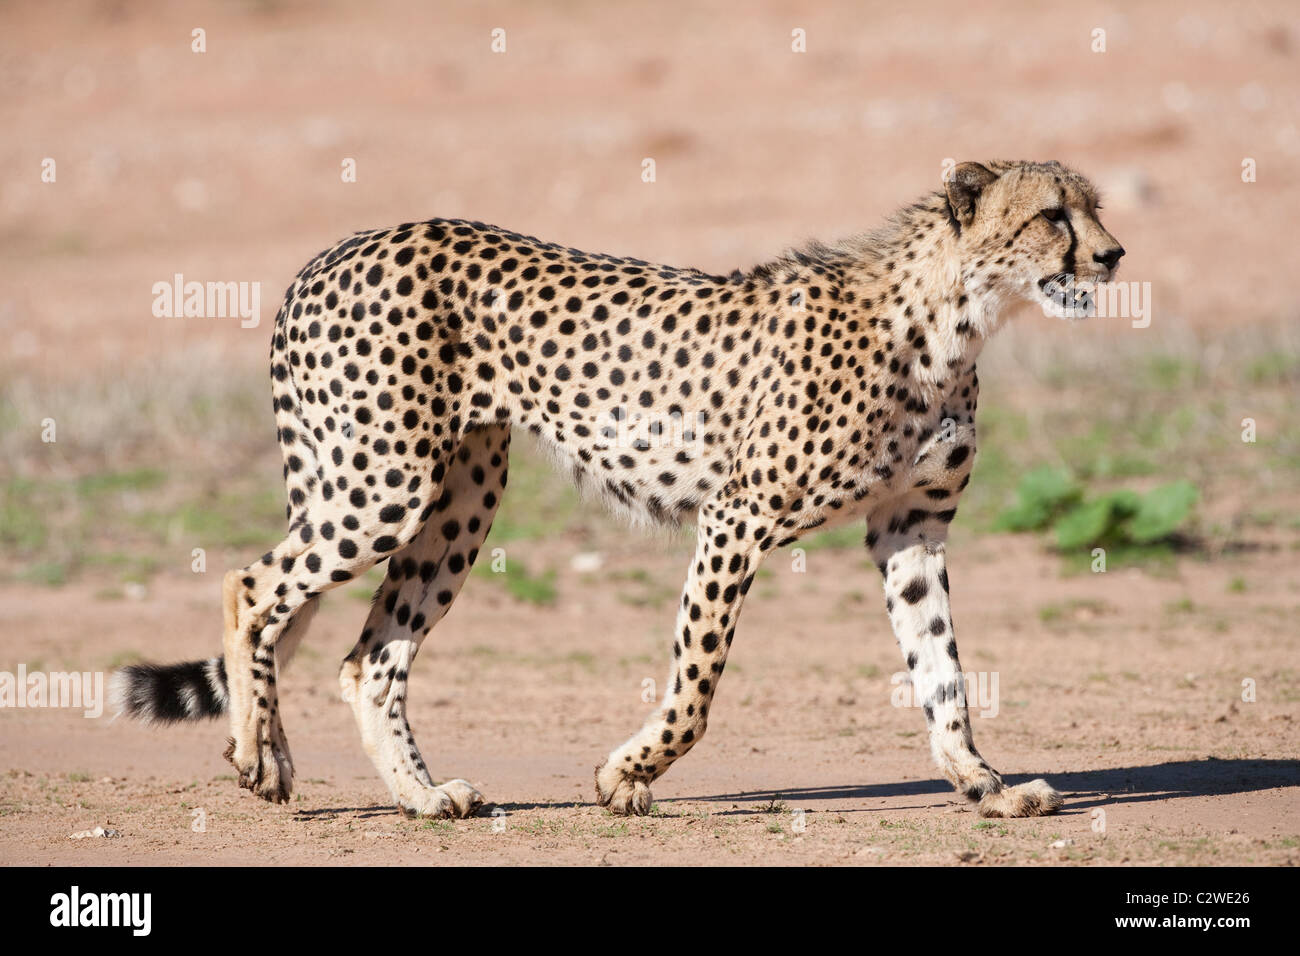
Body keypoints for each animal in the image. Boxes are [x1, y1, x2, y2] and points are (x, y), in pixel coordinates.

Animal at [111, 160, 1123, 816]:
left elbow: (944, 672)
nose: (1113, 256)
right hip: (383, 486)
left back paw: (420, 796)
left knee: (370, 657)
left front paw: (985, 784)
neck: (954, 320)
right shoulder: (737, 517)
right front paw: (626, 776)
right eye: (1052, 216)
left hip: (456, 501)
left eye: (1096, 207)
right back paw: (259, 756)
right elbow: (698, 686)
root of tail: (339, 247)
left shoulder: (910, 529)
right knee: (251, 586)